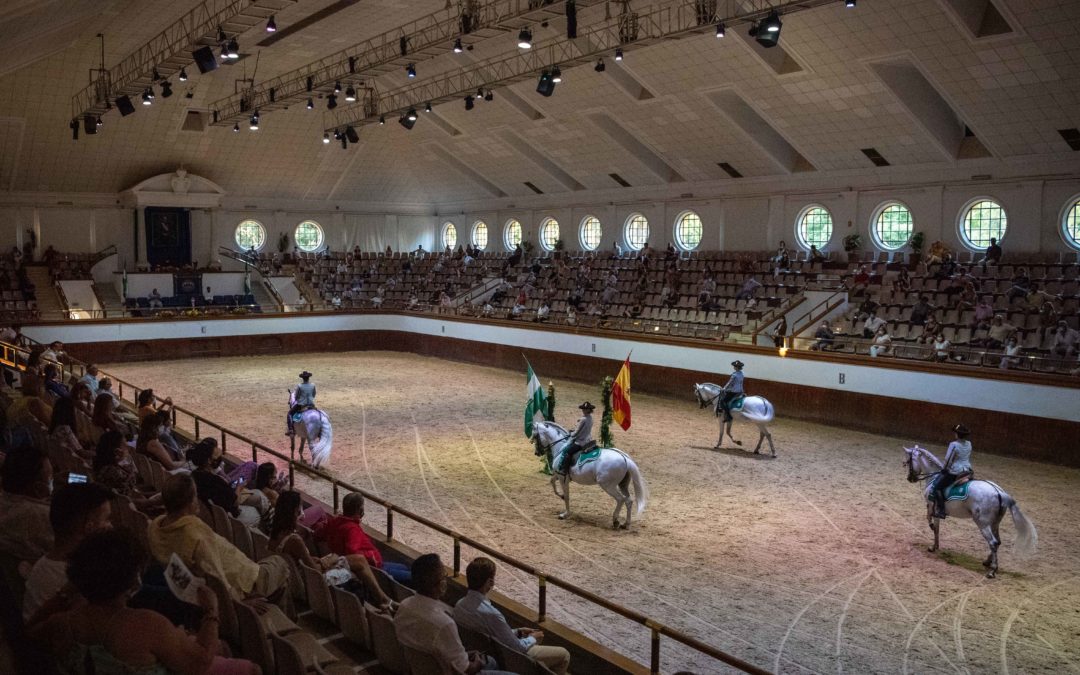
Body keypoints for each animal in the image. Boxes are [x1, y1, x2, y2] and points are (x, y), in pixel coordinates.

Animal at [902, 444, 1036, 574]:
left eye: (908, 461)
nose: (910, 478)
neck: (934, 477)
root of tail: (1000, 493)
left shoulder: (931, 506)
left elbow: (933, 525)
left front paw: (933, 545)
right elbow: (937, 529)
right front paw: (935, 545)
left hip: (983, 523)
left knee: (993, 542)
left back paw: (992, 570)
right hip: (995, 523)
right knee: (997, 542)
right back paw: (987, 562)